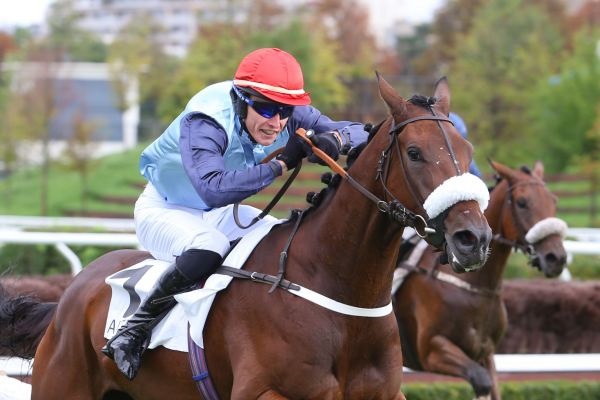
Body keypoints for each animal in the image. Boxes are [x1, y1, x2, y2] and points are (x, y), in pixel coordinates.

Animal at [0, 76, 492, 400]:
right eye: (415, 152)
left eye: (468, 152)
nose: (474, 238)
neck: (338, 291)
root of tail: (70, 294)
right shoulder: (266, 392)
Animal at [394, 160, 568, 400]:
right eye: (522, 202)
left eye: (553, 200)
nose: (556, 258)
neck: (475, 285)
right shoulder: (431, 349)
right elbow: (481, 380)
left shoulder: (485, 351)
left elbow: (493, 385)